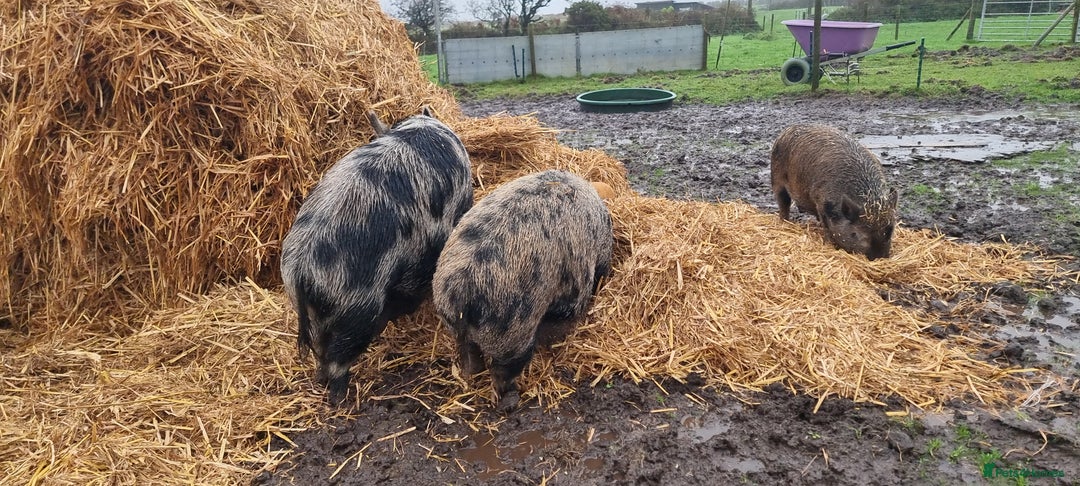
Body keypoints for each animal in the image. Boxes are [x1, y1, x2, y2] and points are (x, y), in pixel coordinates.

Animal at [280, 106, 474, 405]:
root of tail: (301, 268)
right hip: (357, 304)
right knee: (340, 354)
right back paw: (339, 399)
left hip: (312, 310)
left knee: (320, 348)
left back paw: (321, 380)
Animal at [432, 170, 614, 412]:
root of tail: (460, 291)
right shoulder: (576, 285)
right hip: (512, 331)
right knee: (504, 368)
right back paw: (511, 401)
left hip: (453, 321)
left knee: (468, 352)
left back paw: (470, 375)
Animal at [770, 123, 898, 260]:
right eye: (855, 234)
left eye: (890, 231)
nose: (879, 257)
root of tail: (787, 130)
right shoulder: (820, 201)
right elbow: (826, 225)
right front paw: (829, 244)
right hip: (776, 178)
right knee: (783, 202)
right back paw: (785, 222)